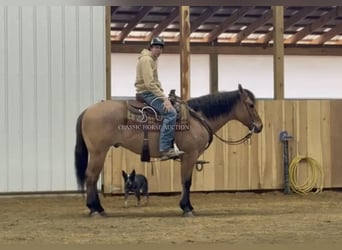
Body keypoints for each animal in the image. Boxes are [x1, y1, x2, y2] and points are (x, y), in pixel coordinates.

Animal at [74, 84, 262, 217]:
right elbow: (186, 182)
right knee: (91, 177)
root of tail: (88, 110)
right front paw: (187, 208)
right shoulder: (190, 154)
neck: (198, 118)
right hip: (98, 152)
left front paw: (187, 206)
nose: (259, 126)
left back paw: (98, 208)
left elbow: (184, 181)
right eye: (251, 105)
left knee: (93, 178)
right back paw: (94, 209)